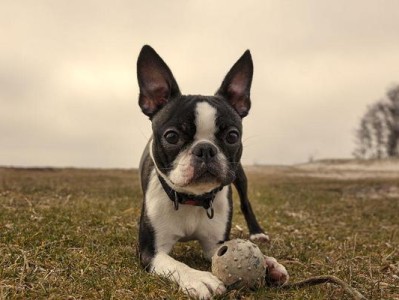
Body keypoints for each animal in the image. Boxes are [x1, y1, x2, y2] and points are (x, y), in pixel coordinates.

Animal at [138, 45, 288, 298]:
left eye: (232, 136)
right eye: (172, 136)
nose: (205, 149)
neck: (192, 199)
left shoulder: (214, 245)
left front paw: (268, 264)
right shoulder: (151, 252)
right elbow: (175, 263)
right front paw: (198, 278)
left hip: (240, 176)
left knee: (246, 202)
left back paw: (257, 233)